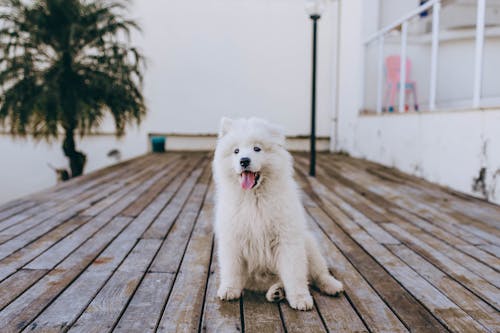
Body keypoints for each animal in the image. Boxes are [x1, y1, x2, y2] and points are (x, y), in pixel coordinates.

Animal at [211, 116, 344, 308]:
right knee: (277, 281)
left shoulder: (287, 239)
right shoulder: (233, 239)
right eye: (236, 151)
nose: (244, 160)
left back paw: (332, 286)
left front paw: (300, 299)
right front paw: (229, 290)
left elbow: (294, 274)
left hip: (309, 245)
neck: (254, 198)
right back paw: (276, 292)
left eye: (257, 148)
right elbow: (232, 269)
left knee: (318, 274)